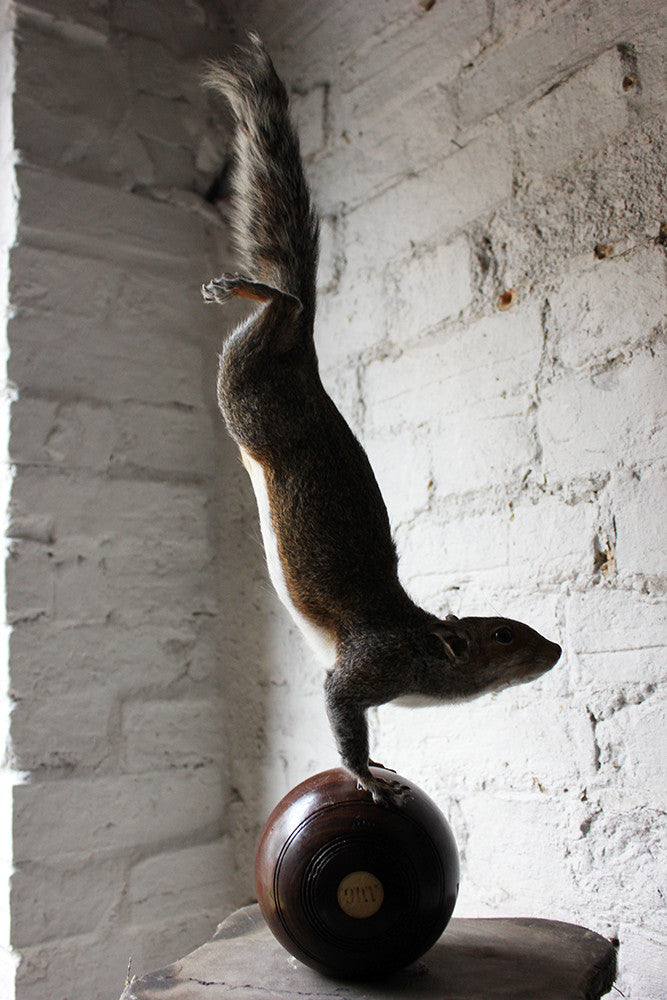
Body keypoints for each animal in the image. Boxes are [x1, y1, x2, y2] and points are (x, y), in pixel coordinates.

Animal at [202, 35, 561, 805]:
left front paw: (377, 764)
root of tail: (305, 357)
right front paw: (366, 775)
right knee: (282, 307)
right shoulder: (372, 666)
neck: (424, 647)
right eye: (501, 636)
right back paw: (251, 289)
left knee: (283, 312)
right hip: (250, 396)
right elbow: (341, 708)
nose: (553, 646)